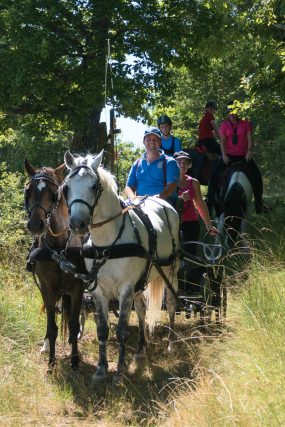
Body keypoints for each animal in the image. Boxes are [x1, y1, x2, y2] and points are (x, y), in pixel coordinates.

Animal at [24, 160, 84, 372]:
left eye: (54, 193)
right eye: (28, 191)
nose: (36, 224)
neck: (58, 249)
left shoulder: (77, 289)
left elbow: (73, 325)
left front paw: (74, 360)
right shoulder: (47, 289)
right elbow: (52, 326)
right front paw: (51, 361)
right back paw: (46, 345)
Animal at [63, 151, 179, 384]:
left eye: (93, 187)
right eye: (67, 187)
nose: (77, 224)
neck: (108, 243)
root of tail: (161, 202)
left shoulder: (125, 288)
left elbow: (122, 330)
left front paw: (120, 370)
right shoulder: (98, 289)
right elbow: (103, 329)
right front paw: (101, 369)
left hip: (171, 271)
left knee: (171, 304)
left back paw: (171, 344)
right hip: (140, 283)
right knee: (142, 311)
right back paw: (141, 350)